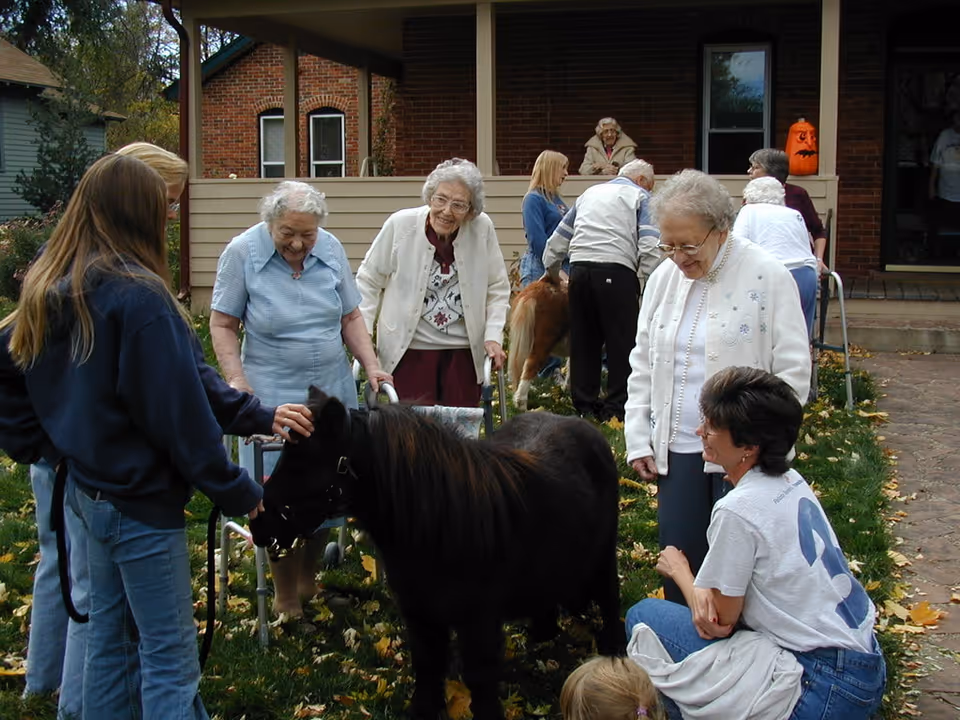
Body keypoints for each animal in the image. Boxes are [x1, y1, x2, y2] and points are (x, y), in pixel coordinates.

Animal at [251, 386, 623, 720]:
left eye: (304, 461)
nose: (258, 523)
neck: (441, 524)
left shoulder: (479, 623)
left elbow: (480, 680)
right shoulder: (420, 616)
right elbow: (428, 669)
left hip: (603, 559)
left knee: (610, 600)